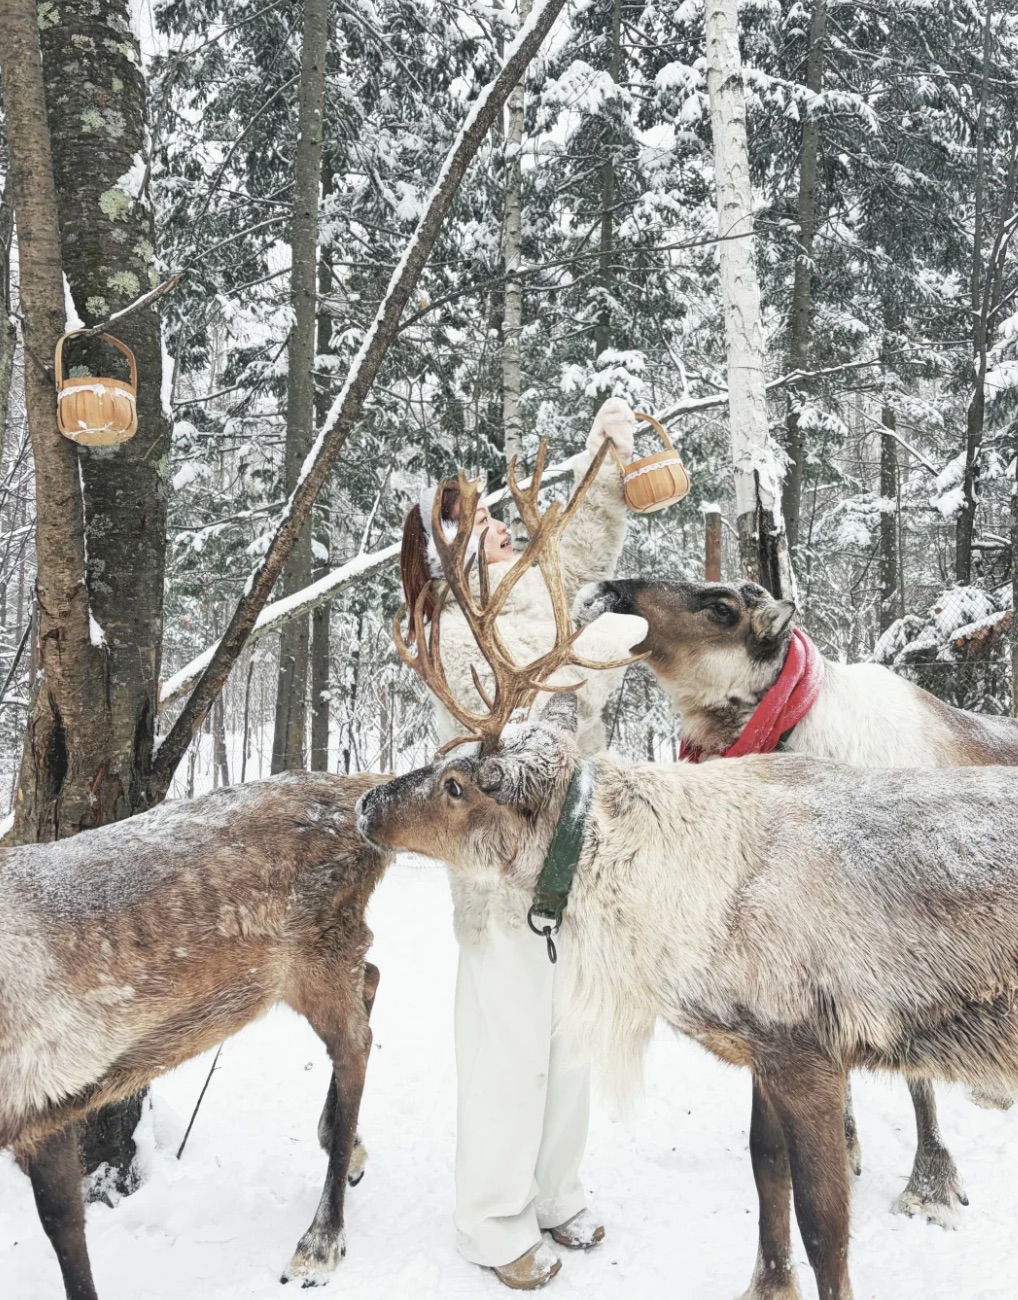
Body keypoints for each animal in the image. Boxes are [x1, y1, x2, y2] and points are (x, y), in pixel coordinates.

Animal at [0, 769, 390, 1300]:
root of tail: (362, 788)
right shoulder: (42, 1107)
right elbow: (62, 1225)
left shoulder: (37, 1094)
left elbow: (65, 1229)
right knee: (371, 978)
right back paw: (346, 1152)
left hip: (319, 952)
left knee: (356, 1044)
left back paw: (319, 1243)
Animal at [361, 508, 1018, 1300]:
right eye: (444, 757)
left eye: (457, 785)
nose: (366, 802)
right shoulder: (765, 1050)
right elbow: (766, 1170)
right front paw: (767, 1284)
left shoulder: (808, 1049)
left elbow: (826, 1227)